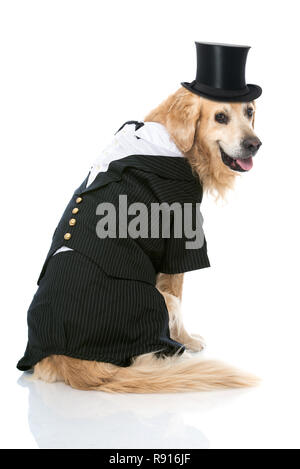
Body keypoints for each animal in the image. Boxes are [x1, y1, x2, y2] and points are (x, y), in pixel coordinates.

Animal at [32, 88, 262, 392]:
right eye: (220, 117)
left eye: (249, 111)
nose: (254, 144)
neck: (171, 139)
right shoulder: (180, 239)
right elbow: (179, 296)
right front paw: (190, 341)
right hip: (158, 303)